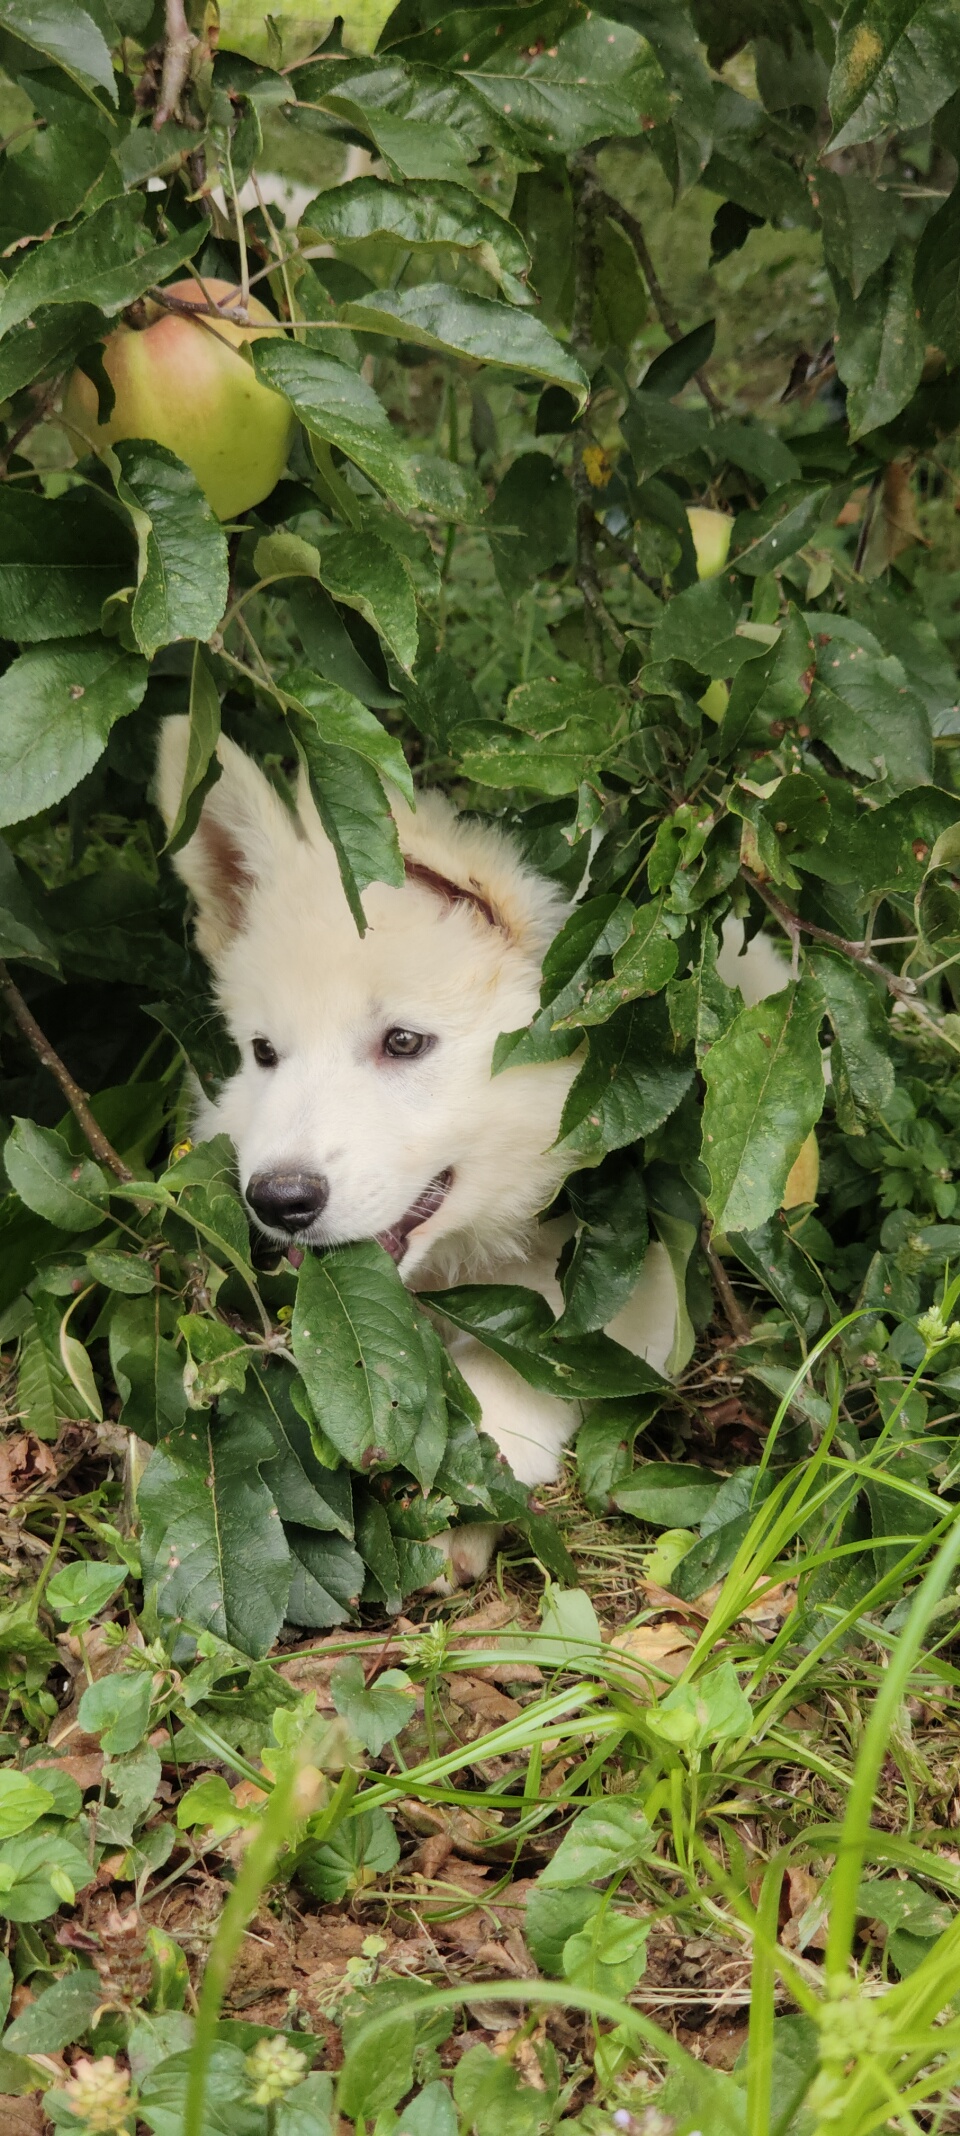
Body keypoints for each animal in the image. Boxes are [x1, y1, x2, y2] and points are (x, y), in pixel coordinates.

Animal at [155, 726, 786, 1580]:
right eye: (262, 1053)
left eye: (403, 1042)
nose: (279, 1201)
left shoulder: (637, 1281)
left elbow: (517, 1377)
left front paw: (463, 1499)